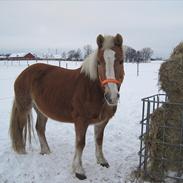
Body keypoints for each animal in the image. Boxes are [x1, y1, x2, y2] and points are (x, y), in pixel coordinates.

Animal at [9, 33, 124, 179]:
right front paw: (79, 170)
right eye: (99, 62)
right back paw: (21, 150)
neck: (91, 88)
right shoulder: (81, 121)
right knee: (20, 127)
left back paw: (46, 151)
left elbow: (99, 140)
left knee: (39, 128)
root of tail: (23, 73)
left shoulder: (102, 122)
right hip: (24, 108)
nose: (112, 96)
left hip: (42, 111)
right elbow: (80, 143)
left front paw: (102, 161)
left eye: (121, 61)